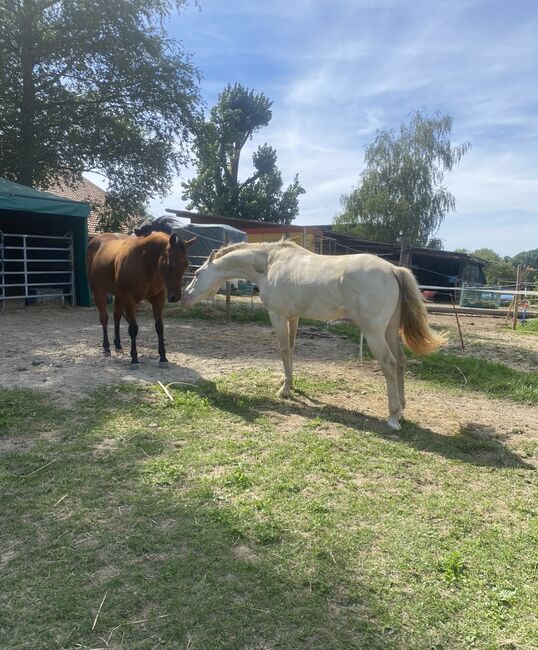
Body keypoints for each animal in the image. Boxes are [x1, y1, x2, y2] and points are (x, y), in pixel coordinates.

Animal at [87, 232, 196, 364]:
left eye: (185, 265)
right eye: (169, 264)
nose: (175, 297)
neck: (144, 263)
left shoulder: (158, 298)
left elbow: (159, 327)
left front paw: (163, 357)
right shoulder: (129, 299)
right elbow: (133, 328)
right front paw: (134, 358)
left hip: (119, 295)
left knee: (116, 317)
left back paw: (118, 345)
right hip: (99, 290)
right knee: (104, 318)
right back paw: (106, 347)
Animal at [181, 240, 444, 428]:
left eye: (197, 274)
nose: (183, 297)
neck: (270, 264)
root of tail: (393, 269)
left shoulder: (278, 316)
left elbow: (283, 350)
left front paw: (284, 390)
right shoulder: (293, 317)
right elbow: (291, 349)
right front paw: (288, 384)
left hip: (374, 333)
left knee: (389, 364)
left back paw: (392, 416)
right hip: (389, 331)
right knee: (400, 362)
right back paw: (402, 410)